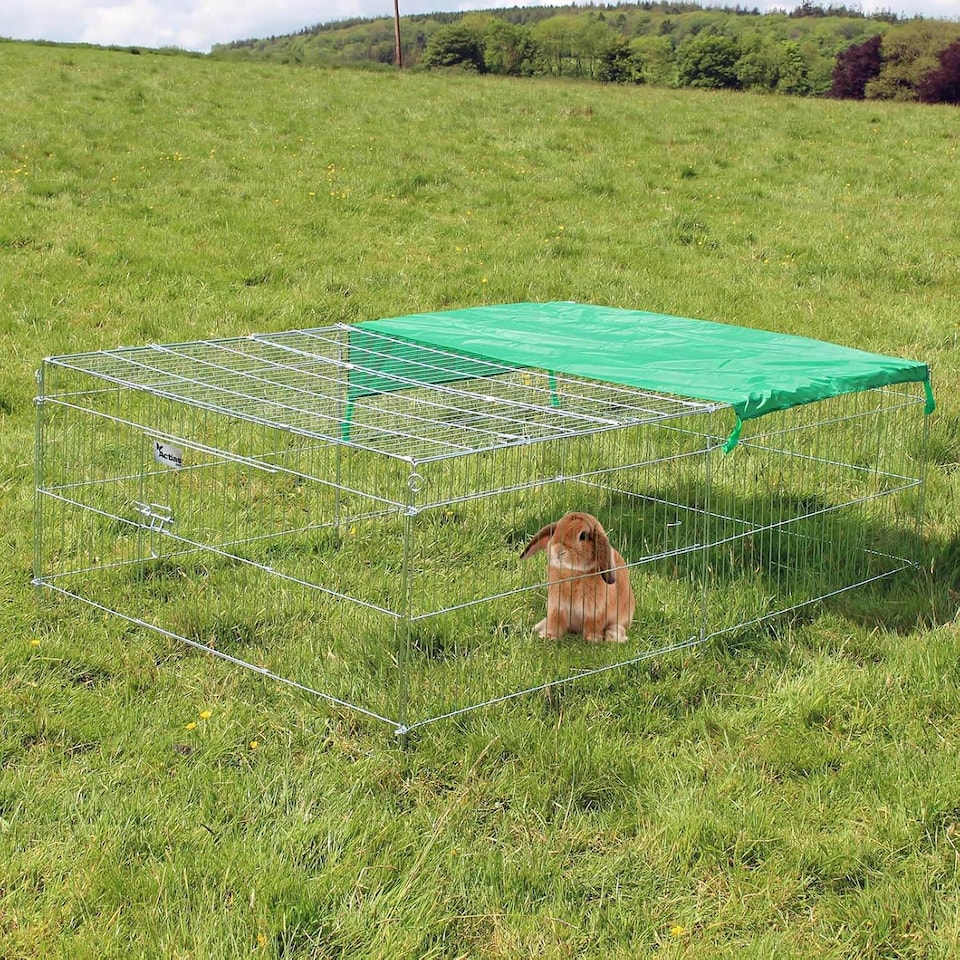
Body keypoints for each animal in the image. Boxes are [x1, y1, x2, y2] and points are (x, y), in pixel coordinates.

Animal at [520, 511, 634, 643]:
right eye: (556, 531)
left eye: (583, 536)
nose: (559, 551)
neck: (573, 572)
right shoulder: (557, 606)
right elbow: (555, 622)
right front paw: (548, 636)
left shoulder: (595, 610)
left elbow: (593, 624)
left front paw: (592, 639)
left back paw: (612, 635)